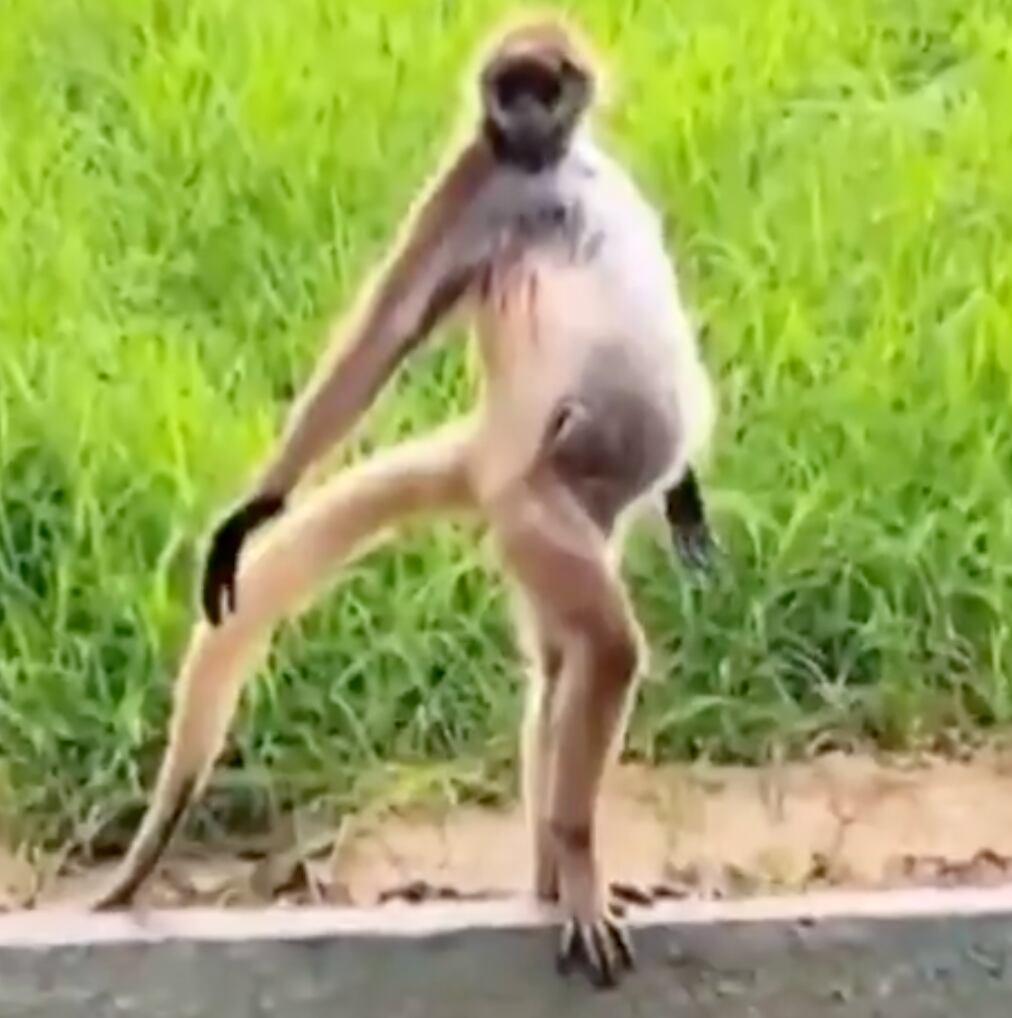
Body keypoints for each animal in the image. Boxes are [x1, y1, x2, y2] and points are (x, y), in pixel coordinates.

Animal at [92, 16, 717, 989]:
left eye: (543, 85)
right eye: (508, 88)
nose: (518, 114)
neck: (551, 169)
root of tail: (491, 446)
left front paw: (687, 497)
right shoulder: (478, 178)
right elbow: (383, 334)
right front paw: (255, 510)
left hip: (567, 518)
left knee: (561, 664)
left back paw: (553, 878)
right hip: (532, 503)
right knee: (604, 651)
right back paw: (572, 870)